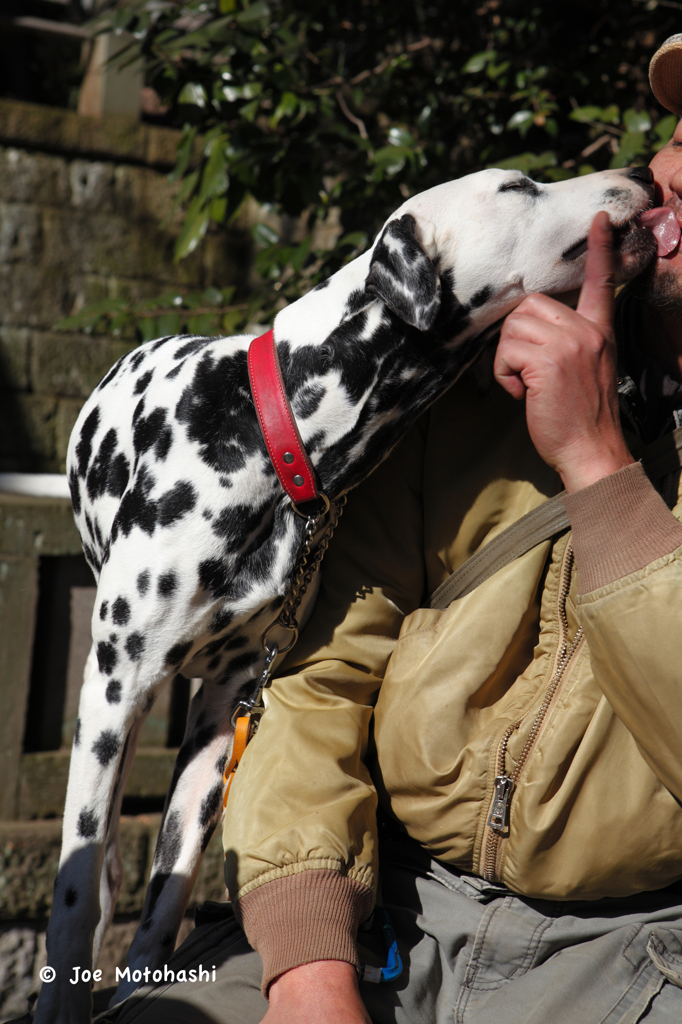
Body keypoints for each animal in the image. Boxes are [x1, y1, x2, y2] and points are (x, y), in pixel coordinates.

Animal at [33, 163, 659, 1019]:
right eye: (516, 186)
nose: (638, 173)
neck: (268, 432)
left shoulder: (222, 720)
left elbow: (165, 905)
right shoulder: (114, 689)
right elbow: (74, 896)